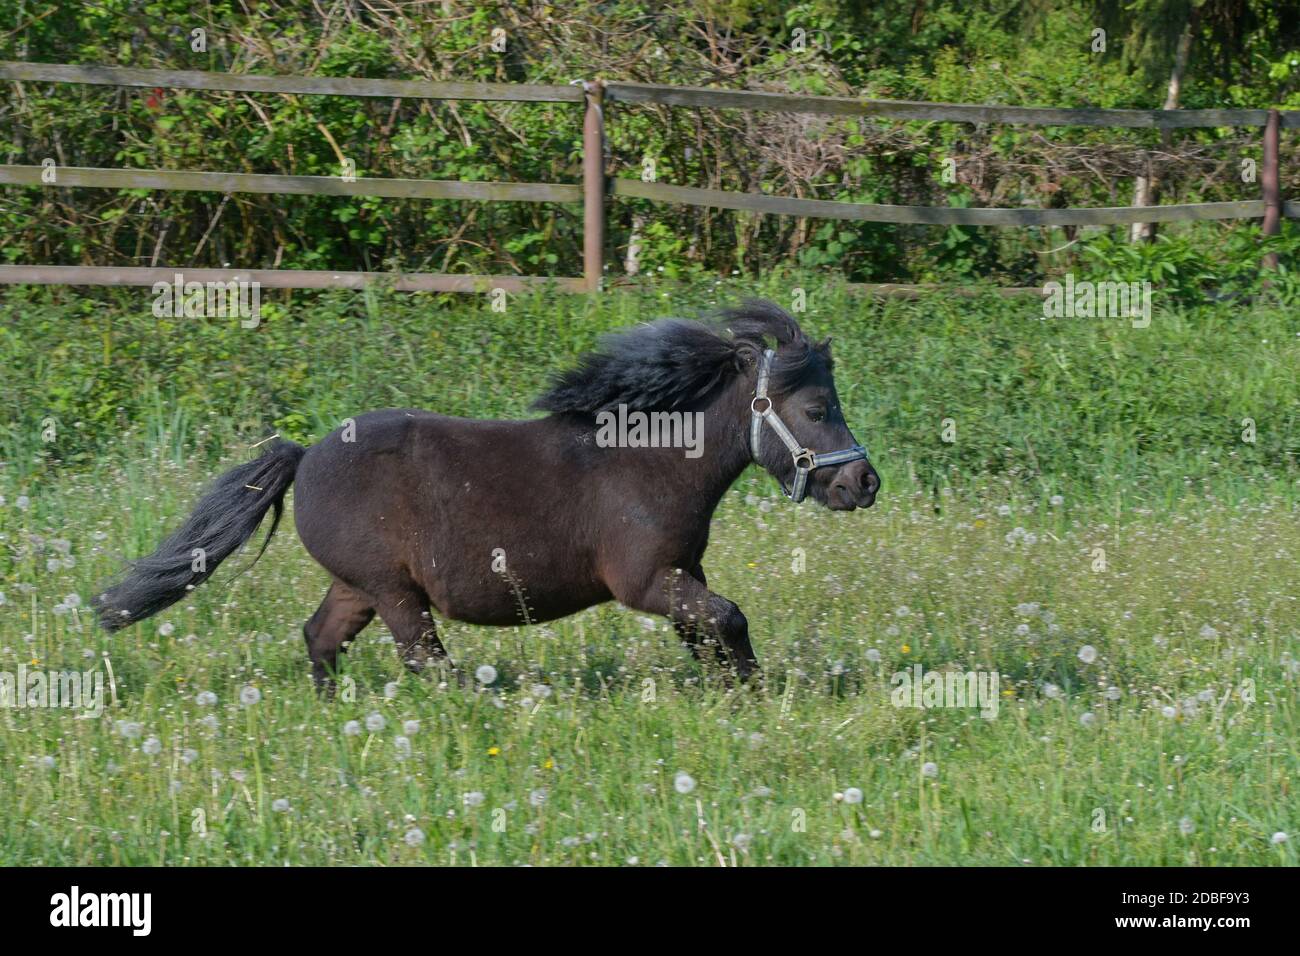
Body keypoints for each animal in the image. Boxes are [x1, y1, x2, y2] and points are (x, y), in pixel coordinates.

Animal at [96, 299, 878, 681]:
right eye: (817, 409)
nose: (864, 482)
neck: (651, 466)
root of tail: (305, 452)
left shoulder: (683, 573)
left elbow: (711, 632)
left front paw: (740, 692)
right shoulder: (645, 580)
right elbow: (729, 619)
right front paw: (753, 695)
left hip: (360, 587)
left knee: (321, 640)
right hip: (394, 593)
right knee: (426, 661)